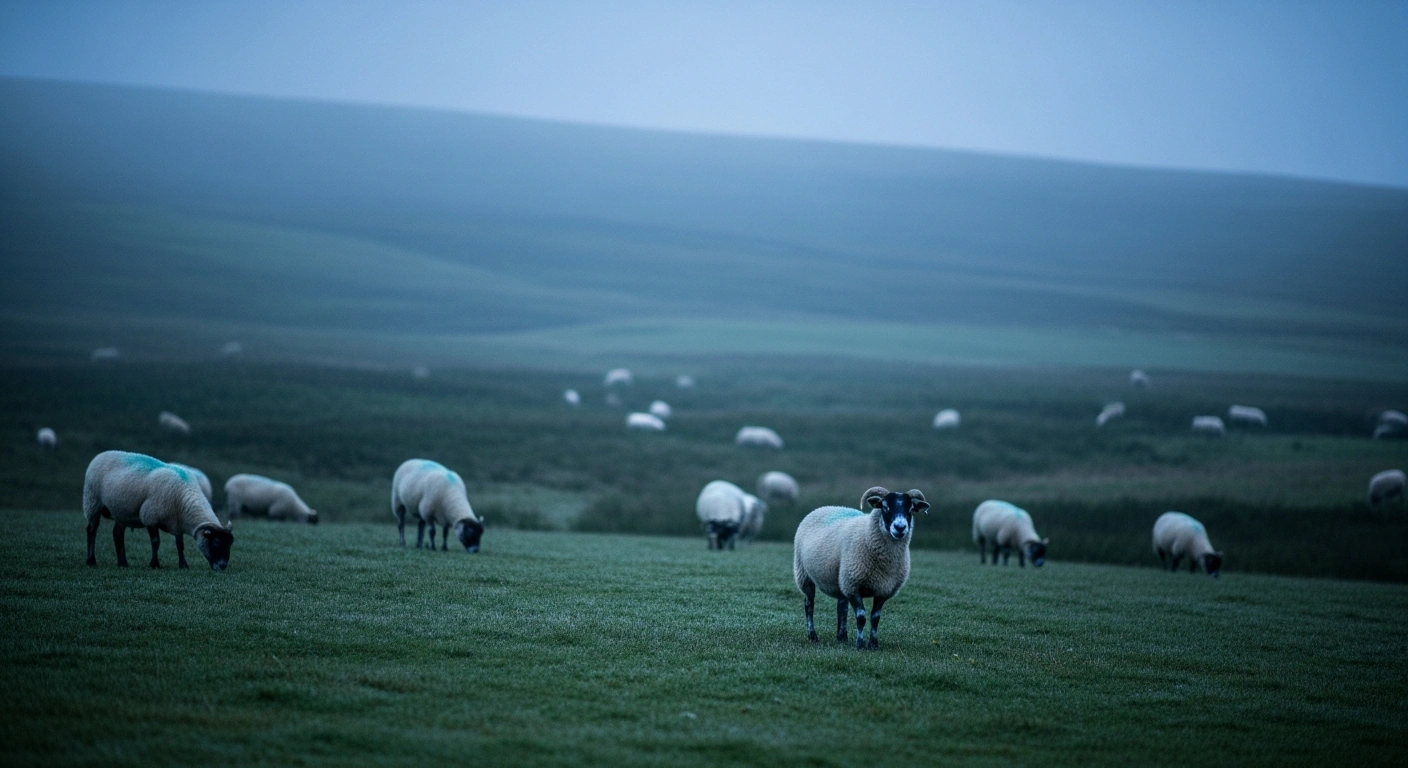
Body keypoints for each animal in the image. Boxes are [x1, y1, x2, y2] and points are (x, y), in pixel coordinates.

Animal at [83, 450, 234, 570]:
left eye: (230, 544)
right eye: (216, 543)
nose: (223, 566)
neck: (183, 494)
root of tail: (101, 454)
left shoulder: (177, 522)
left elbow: (180, 545)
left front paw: (183, 565)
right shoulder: (150, 517)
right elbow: (156, 541)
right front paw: (154, 564)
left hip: (121, 511)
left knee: (117, 534)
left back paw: (123, 563)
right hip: (93, 502)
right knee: (92, 530)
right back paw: (91, 560)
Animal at [793, 486, 929, 649]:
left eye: (911, 509)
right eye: (884, 507)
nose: (900, 527)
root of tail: (824, 507)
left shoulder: (884, 590)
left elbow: (875, 618)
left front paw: (874, 644)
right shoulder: (853, 586)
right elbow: (861, 617)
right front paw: (860, 644)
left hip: (841, 579)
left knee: (842, 606)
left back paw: (842, 637)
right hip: (804, 574)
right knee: (809, 605)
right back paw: (813, 636)